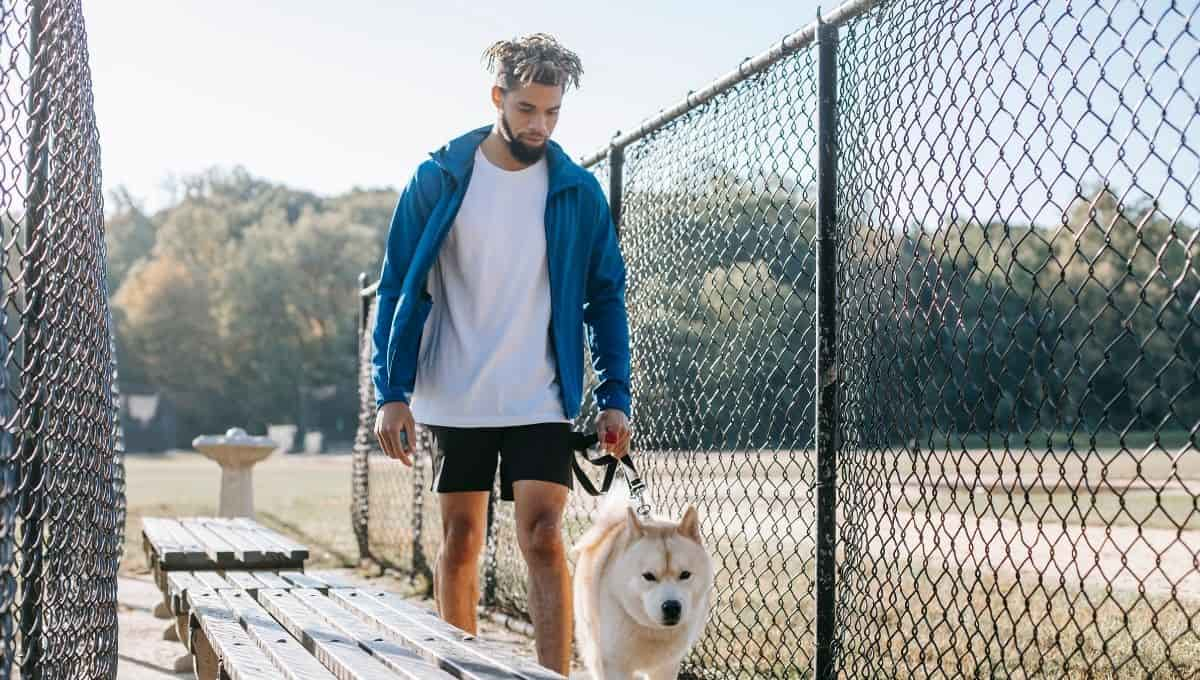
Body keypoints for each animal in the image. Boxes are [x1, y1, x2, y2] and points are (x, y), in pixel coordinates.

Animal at [571, 489, 710, 680]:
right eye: (649, 576)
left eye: (685, 575)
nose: (672, 607)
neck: (652, 630)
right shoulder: (614, 665)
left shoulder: (666, 667)